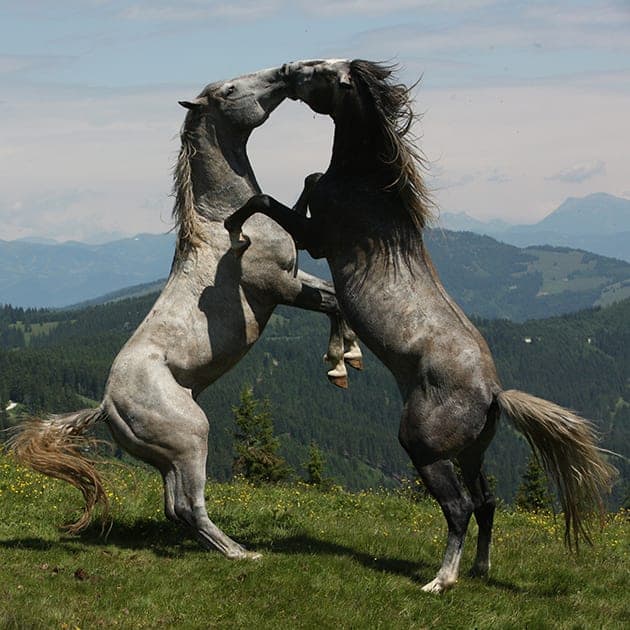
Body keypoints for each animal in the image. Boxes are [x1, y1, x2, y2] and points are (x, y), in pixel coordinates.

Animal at [226, 59, 616, 592]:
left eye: (322, 73)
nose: (287, 70)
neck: (367, 188)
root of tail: (493, 394)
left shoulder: (317, 239)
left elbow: (266, 200)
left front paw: (232, 226)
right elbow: (305, 179)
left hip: (425, 450)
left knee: (460, 508)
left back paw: (441, 581)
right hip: (471, 454)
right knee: (487, 503)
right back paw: (478, 569)